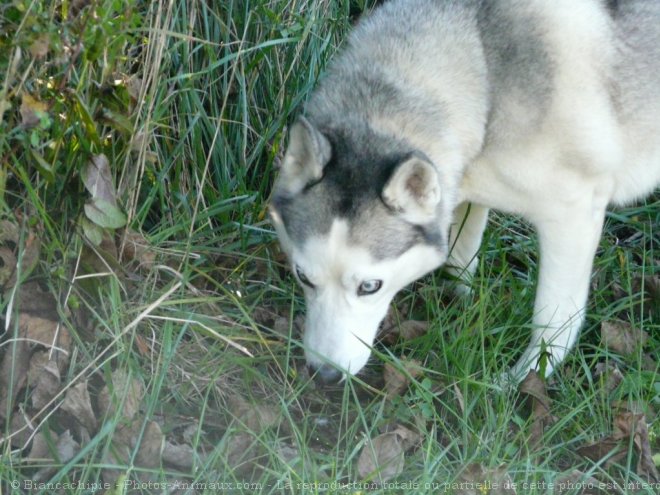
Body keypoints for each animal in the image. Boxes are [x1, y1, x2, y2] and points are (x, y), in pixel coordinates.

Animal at [268, 0, 660, 386]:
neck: (485, 70)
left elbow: (554, 318)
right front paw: (460, 305)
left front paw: (523, 379)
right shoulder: (465, 193)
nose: (324, 375)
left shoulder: (573, 214)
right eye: (303, 277)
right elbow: (459, 259)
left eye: (370, 286)